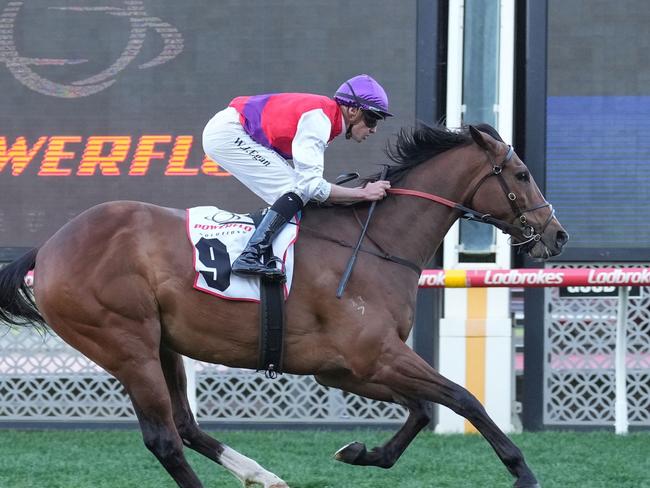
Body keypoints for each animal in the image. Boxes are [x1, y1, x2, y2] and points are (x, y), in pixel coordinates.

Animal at [0, 124, 568, 486]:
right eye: (520, 174)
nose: (557, 235)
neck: (376, 242)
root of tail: (48, 248)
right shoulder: (376, 355)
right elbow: (463, 399)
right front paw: (523, 471)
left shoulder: (346, 367)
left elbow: (424, 408)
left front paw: (362, 452)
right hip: (125, 344)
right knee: (163, 439)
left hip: (162, 344)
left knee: (184, 426)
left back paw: (262, 475)